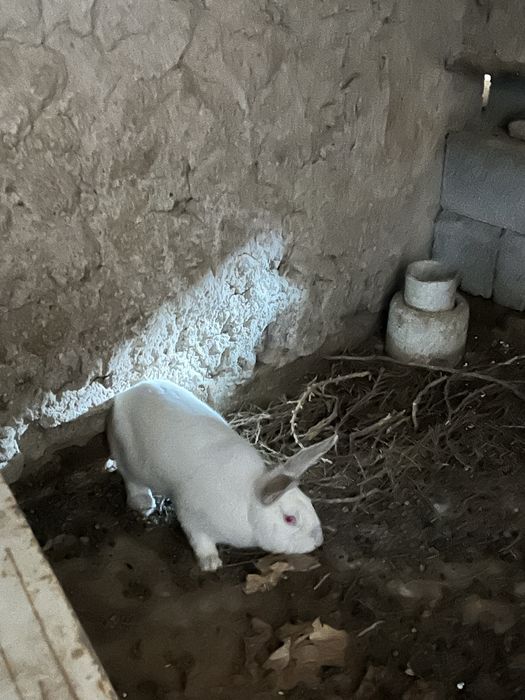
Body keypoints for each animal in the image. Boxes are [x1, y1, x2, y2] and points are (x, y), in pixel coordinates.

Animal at [106, 379, 337, 571]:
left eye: (310, 502)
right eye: (290, 519)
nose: (318, 540)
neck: (248, 505)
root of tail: (126, 394)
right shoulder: (191, 517)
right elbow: (200, 540)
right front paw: (210, 563)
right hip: (127, 456)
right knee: (130, 478)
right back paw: (142, 503)